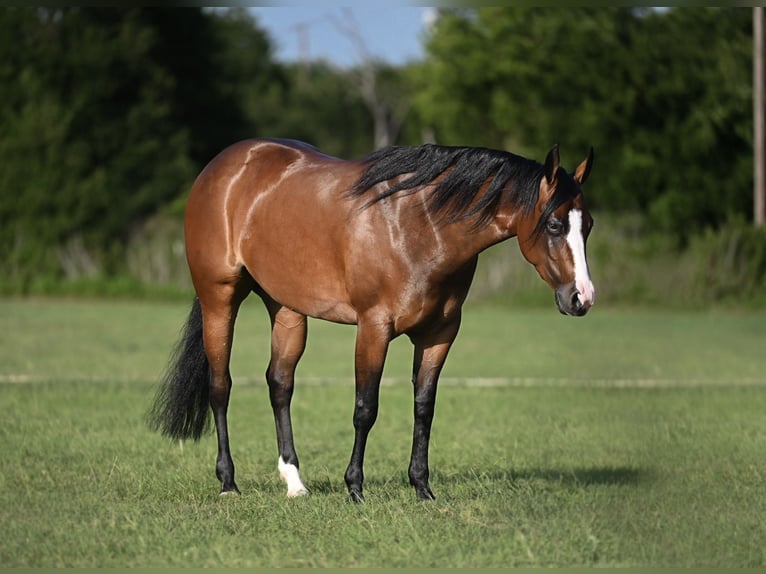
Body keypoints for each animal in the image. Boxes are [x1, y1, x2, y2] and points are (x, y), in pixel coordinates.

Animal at [147, 138, 595, 502]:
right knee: (220, 386)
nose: (582, 298)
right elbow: (366, 408)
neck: (421, 225)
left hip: (287, 310)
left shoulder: (439, 334)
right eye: (554, 224)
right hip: (219, 300)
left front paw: (422, 487)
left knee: (280, 384)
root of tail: (224, 165)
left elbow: (424, 407)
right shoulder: (373, 328)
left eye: (587, 225)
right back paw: (228, 482)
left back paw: (295, 483)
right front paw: (355, 488)